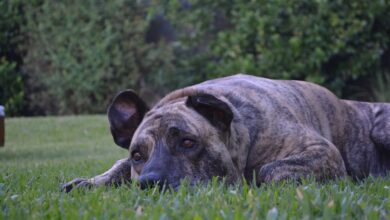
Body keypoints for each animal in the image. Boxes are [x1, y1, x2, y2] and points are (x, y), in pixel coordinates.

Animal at [61, 74, 390, 192]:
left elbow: (270, 170)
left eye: (188, 142)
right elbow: (118, 167)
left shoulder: (321, 152)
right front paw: (91, 181)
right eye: (137, 155)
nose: (151, 182)